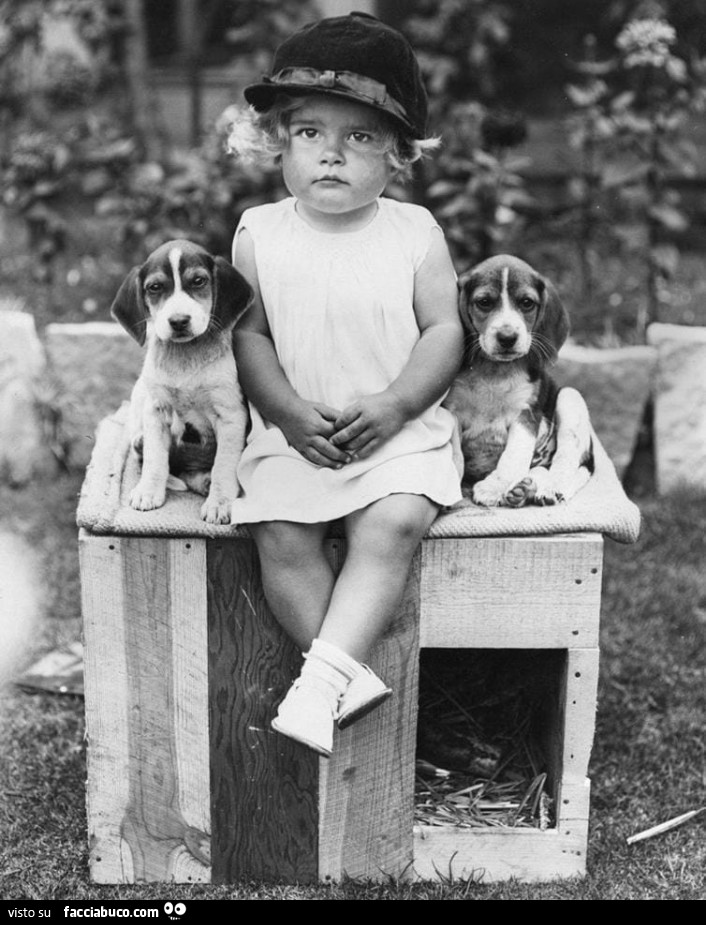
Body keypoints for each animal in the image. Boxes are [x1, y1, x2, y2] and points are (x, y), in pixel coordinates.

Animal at [108, 238, 252, 524]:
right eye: (154, 287)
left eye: (198, 281)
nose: (178, 321)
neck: (186, 356)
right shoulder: (156, 409)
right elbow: (155, 458)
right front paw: (149, 491)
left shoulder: (231, 416)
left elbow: (224, 465)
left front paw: (220, 503)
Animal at [448, 256, 592, 508]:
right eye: (484, 302)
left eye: (526, 303)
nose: (507, 338)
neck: (494, 371)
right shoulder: (452, 410)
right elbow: (454, 453)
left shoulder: (525, 414)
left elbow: (512, 457)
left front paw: (493, 487)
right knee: (539, 470)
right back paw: (524, 489)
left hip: (570, 397)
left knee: (567, 463)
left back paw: (549, 489)